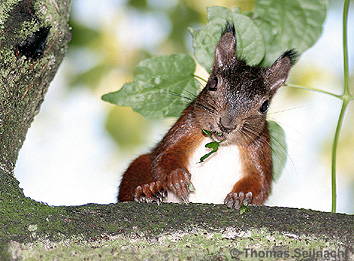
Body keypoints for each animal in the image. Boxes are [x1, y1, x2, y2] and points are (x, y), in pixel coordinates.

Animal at [117, 22, 296, 209]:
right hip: (138, 165)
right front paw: (177, 177)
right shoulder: (187, 125)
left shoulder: (259, 147)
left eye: (264, 106)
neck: (220, 146)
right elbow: (165, 155)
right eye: (213, 83)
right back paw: (148, 190)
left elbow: (260, 181)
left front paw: (240, 195)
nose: (226, 125)